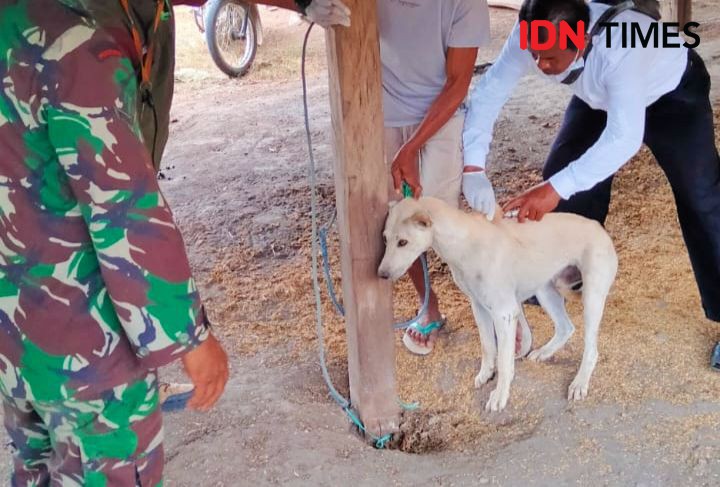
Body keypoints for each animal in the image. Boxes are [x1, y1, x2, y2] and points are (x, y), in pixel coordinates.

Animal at [376, 197, 620, 412]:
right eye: (385, 239)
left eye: (403, 242)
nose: (381, 275)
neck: (464, 245)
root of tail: (598, 227)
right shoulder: (479, 307)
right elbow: (488, 347)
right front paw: (486, 374)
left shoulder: (503, 313)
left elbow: (504, 359)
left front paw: (500, 395)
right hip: (545, 291)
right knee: (565, 327)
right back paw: (544, 353)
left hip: (592, 298)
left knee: (591, 349)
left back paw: (579, 383)